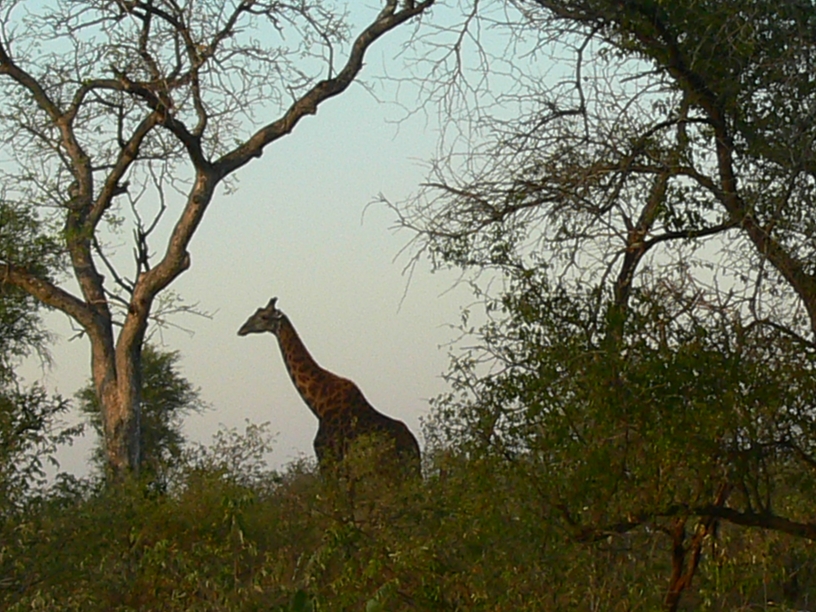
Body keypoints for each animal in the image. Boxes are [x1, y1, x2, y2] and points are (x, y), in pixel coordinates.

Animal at [238, 297, 421, 476]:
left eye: (263, 317)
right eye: (256, 312)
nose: (242, 329)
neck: (317, 403)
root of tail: (414, 448)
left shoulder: (327, 455)